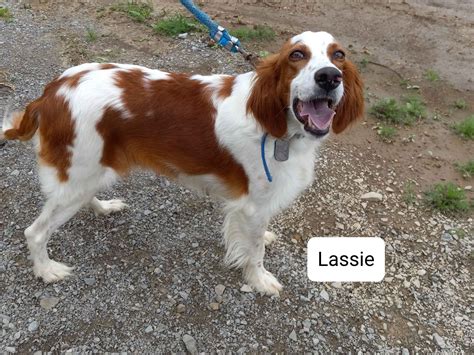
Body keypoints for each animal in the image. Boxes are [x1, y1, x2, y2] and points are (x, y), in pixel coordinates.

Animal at [2, 32, 362, 296]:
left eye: (339, 55)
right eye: (297, 55)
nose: (329, 76)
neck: (278, 125)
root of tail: (51, 92)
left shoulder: (257, 205)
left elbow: (258, 237)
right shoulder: (252, 206)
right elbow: (255, 250)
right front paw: (260, 280)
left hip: (89, 172)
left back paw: (103, 207)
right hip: (77, 173)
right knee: (35, 232)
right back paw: (46, 270)